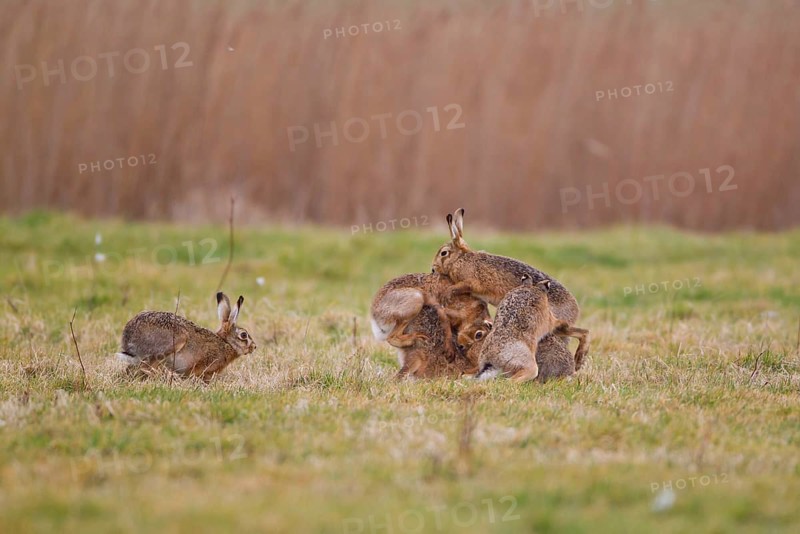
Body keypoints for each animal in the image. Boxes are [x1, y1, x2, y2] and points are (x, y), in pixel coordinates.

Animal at [117, 292, 256, 381]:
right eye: (244, 335)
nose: (254, 347)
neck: (226, 343)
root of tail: (128, 338)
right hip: (174, 342)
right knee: (146, 367)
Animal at [431, 208, 581, 326]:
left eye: (444, 253)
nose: (433, 269)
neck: (459, 259)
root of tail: (575, 312)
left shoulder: (471, 281)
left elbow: (460, 286)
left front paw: (446, 295)